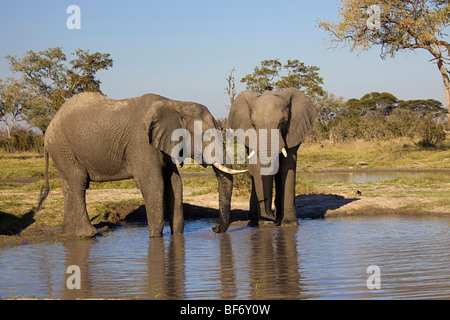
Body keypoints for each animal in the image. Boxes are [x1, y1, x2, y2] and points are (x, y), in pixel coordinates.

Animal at [229, 88, 316, 228]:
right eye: (252, 124)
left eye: (282, 122)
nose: (270, 217)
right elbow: (257, 169)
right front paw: (266, 224)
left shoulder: (292, 133)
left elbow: (287, 167)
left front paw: (289, 224)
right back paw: (255, 221)